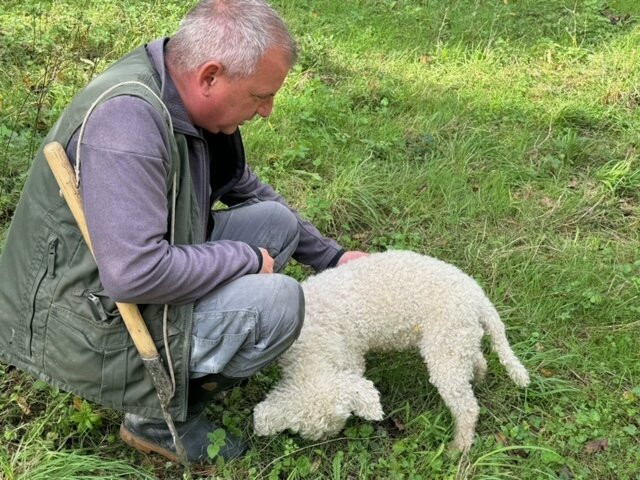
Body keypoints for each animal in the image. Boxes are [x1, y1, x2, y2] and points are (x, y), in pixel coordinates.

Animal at [254, 249, 528, 452]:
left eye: (340, 419)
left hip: (446, 347)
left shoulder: (350, 356)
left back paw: (459, 446)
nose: (331, 438)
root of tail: (478, 297)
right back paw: (478, 379)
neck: (310, 347)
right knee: (478, 361)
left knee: (467, 407)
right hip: (457, 340)